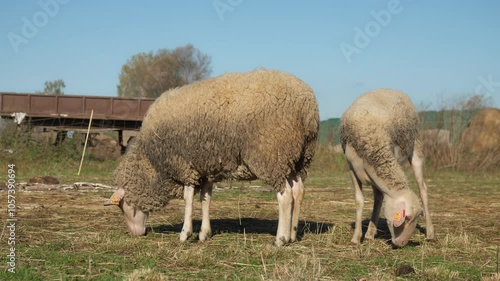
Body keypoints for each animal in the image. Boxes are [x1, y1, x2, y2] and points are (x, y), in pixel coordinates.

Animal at [104, 69, 320, 245]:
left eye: (123, 206)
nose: (136, 234)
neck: (152, 163)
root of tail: (307, 106)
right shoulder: (205, 170)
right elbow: (205, 199)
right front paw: (204, 233)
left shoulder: (185, 166)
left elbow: (188, 199)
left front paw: (185, 234)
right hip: (297, 158)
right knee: (298, 191)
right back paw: (293, 235)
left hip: (272, 154)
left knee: (285, 196)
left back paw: (281, 239)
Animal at [338, 88, 436, 246]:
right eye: (407, 218)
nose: (402, 244)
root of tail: (391, 89)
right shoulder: (352, 168)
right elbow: (361, 201)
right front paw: (357, 238)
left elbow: (378, 198)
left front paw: (367, 234)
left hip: (415, 147)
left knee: (423, 190)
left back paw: (430, 233)